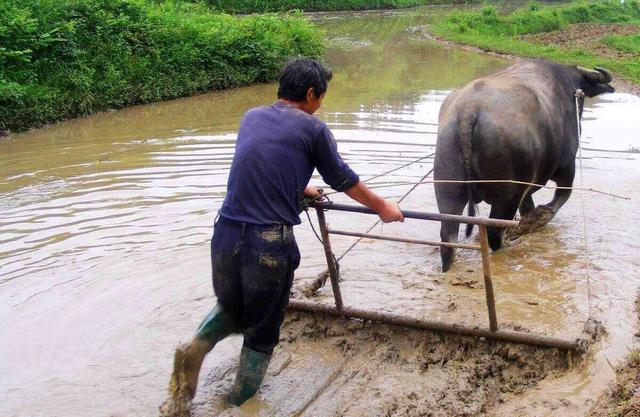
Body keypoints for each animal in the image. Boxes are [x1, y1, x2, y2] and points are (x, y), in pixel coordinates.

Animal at [432, 59, 612, 272]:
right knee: (494, 232)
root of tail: (469, 110)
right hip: (508, 195)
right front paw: (538, 218)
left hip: (448, 186)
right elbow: (561, 196)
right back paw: (510, 245)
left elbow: (528, 204)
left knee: (448, 236)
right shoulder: (567, 166)